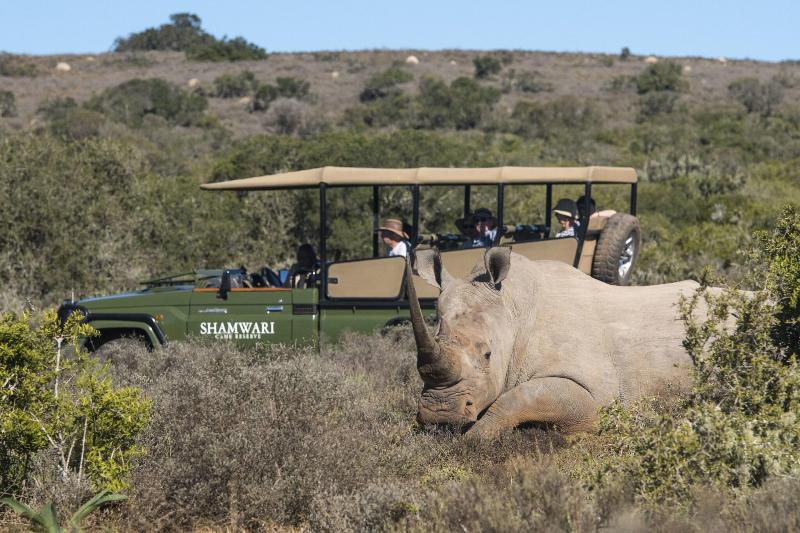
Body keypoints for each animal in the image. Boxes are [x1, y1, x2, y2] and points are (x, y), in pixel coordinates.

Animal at [406, 247, 701, 438]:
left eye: (488, 355)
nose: (439, 413)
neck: (514, 312)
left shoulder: (595, 395)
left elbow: (520, 396)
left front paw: (473, 439)